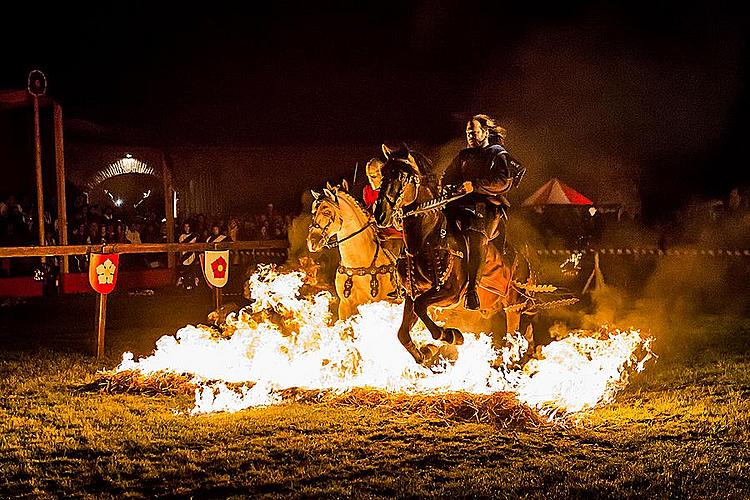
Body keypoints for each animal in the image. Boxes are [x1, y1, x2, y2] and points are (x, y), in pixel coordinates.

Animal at [374, 143, 536, 366]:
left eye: (403, 176)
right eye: (383, 174)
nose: (380, 214)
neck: (428, 239)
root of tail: (525, 261)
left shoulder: (449, 293)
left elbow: (422, 309)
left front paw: (450, 335)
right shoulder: (412, 294)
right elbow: (403, 333)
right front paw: (424, 354)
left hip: (513, 307)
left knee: (515, 336)